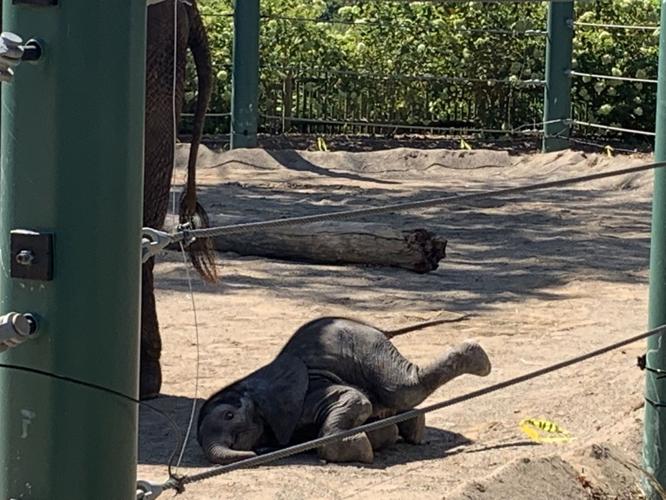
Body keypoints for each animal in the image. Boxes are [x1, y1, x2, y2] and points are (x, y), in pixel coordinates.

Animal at [197, 317, 492, 465]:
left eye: (229, 416)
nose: (254, 454)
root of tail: (372, 326)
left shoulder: (304, 393)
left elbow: (357, 400)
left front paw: (361, 452)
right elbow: (376, 423)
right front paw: (377, 437)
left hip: (366, 348)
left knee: (403, 387)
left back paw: (480, 359)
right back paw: (414, 434)